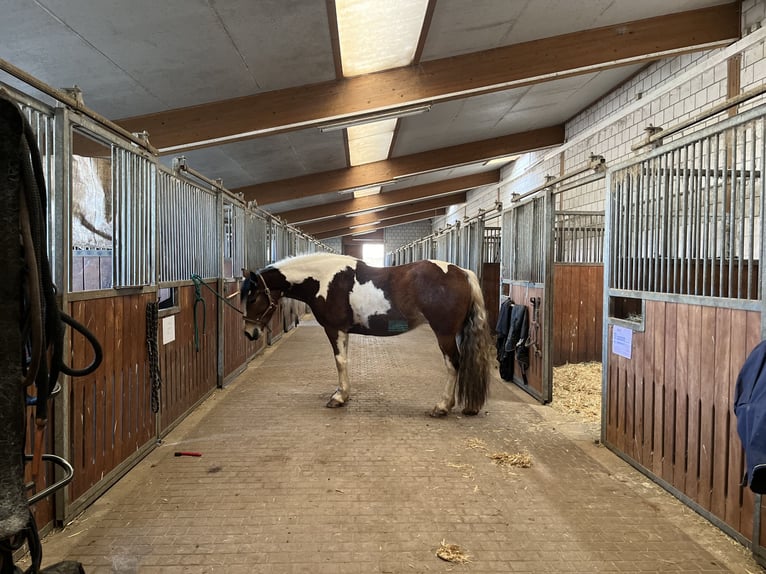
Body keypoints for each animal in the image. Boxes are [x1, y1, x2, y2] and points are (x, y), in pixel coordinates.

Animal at [240, 254, 496, 416]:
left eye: (252, 298)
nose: (249, 333)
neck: (324, 279)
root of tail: (463, 273)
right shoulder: (344, 331)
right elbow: (344, 361)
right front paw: (343, 394)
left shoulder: (334, 329)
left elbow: (340, 361)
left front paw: (338, 398)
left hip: (444, 334)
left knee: (453, 364)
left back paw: (442, 406)